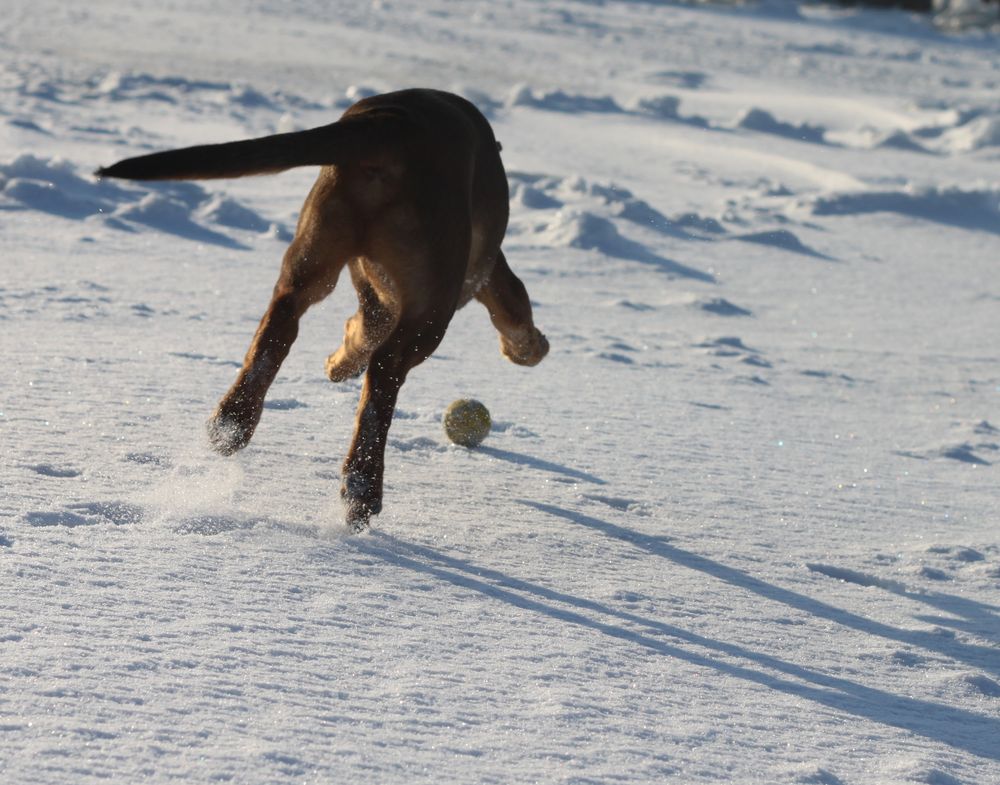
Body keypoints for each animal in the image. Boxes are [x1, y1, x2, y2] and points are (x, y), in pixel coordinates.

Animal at [97, 89, 552, 528]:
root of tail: (393, 123)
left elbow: (363, 325)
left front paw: (338, 361)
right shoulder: (479, 270)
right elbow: (514, 307)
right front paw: (529, 348)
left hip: (310, 257)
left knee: (278, 328)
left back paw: (232, 422)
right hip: (432, 301)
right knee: (384, 374)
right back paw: (362, 490)